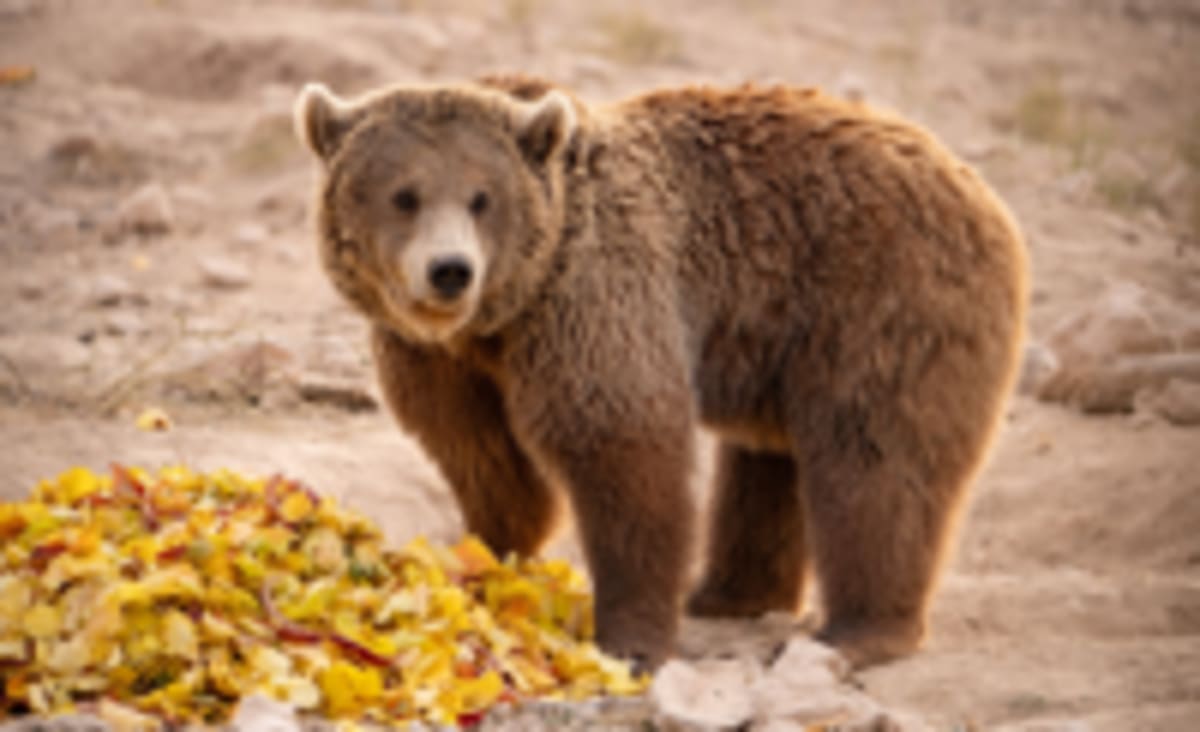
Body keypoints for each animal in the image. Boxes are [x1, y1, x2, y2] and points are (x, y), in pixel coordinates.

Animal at [293, 74, 1028, 671]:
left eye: (481, 197)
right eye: (404, 195)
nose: (450, 270)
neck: (504, 313)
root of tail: (980, 190)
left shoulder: (594, 292)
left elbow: (622, 445)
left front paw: (630, 639)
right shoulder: (445, 357)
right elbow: (482, 453)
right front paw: (485, 555)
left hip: (881, 294)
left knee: (875, 456)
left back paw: (856, 630)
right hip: (780, 338)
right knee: (768, 458)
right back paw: (728, 594)